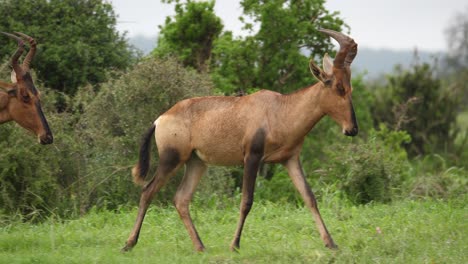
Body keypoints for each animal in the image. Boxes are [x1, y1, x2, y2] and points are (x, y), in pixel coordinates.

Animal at [123, 28, 358, 252]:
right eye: (338, 87)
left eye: (350, 86)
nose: (352, 129)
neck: (279, 109)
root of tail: (160, 119)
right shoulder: (252, 157)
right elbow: (247, 201)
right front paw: (234, 245)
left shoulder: (290, 160)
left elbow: (309, 197)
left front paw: (331, 243)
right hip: (171, 159)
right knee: (147, 191)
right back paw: (129, 244)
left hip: (196, 162)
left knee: (181, 198)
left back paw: (200, 247)